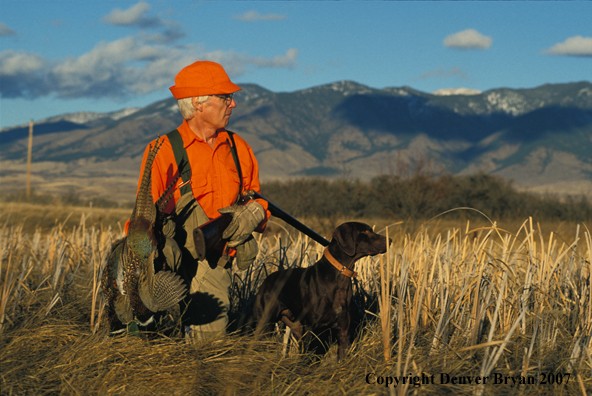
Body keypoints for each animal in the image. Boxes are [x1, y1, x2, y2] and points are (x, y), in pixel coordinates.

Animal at [252, 221, 390, 360]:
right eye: (365, 231)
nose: (390, 240)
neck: (340, 275)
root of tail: (266, 280)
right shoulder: (310, 328)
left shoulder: (343, 330)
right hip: (265, 323)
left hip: (296, 326)